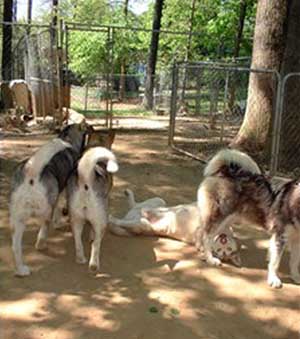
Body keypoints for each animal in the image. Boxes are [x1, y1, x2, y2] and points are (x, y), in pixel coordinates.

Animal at [9, 123, 88, 278]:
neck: (66, 138)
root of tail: (31, 175)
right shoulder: (63, 190)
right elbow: (59, 207)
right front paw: (58, 222)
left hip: (18, 218)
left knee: (15, 246)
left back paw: (21, 270)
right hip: (45, 211)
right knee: (44, 228)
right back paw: (41, 244)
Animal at [108, 190, 241, 266]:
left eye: (226, 251)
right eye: (225, 247)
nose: (223, 240)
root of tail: (130, 215)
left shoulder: (201, 238)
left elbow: (204, 248)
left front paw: (212, 260)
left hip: (142, 225)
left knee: (124, 221)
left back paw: (111, 218)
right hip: (159, 201)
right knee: (138, 205)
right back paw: (132, 199)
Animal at [196, 147, 300, 288]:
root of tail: (226, 171)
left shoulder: (297, 240)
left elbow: (294, 262)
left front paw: (295, 277)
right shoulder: (280, 236)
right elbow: (275, 262)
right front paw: (274, 279)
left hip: (227, 219)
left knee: (204, 232)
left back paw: (203, 251)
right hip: (219, 216)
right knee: (206, 235)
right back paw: (210, 258)